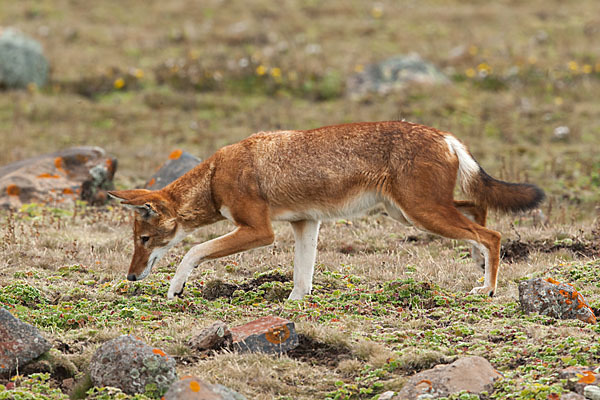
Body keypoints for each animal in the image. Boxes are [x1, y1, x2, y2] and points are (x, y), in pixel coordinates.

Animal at [108, 122, 544, 300]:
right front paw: (293, 304)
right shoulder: (306, 224)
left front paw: (175, 288)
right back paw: (478, 268)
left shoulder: (260, 231)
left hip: (421, 214)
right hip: (412, 213)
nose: (130, 277)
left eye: (144, 240)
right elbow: (302, 278)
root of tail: (446, 135)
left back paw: (488, 288)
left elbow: (193, 251)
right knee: (478, 211)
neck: (216, 174)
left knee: (492, 234)